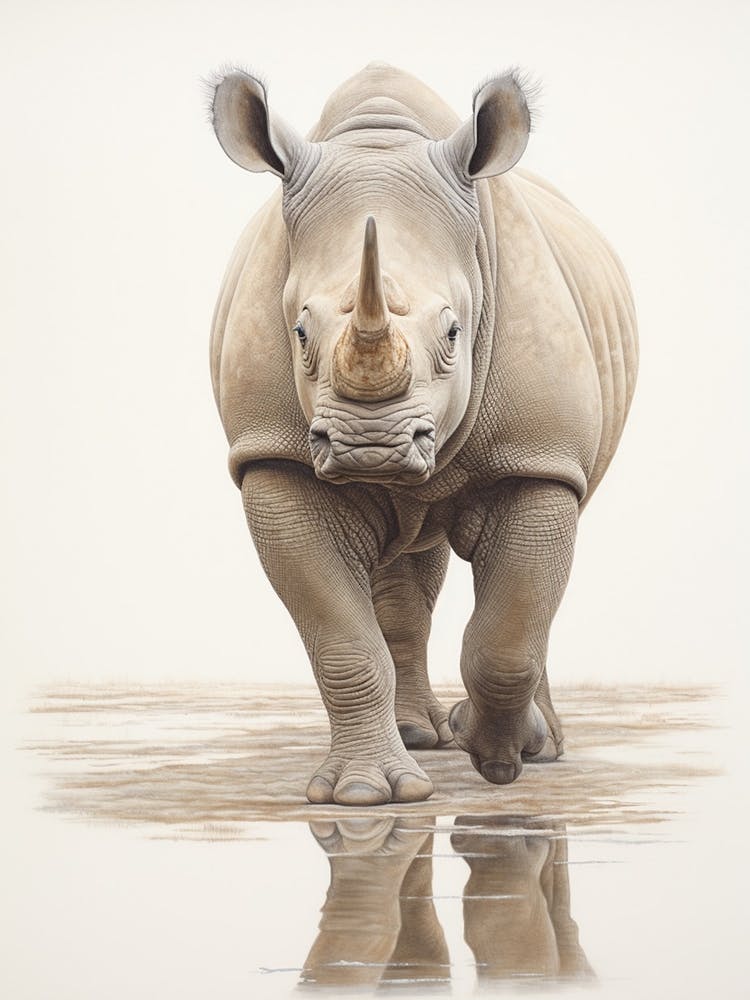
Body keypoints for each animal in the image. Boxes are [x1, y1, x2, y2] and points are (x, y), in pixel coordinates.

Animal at [208, 63, 638, 806]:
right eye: (299, 331)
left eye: (454, 332)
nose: (370, 445)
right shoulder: (273, 458)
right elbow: (341, 640)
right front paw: (365, 795)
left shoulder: (540, 454)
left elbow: (509, 632)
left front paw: (496, 758)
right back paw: (417, 738)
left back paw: (538, 747)